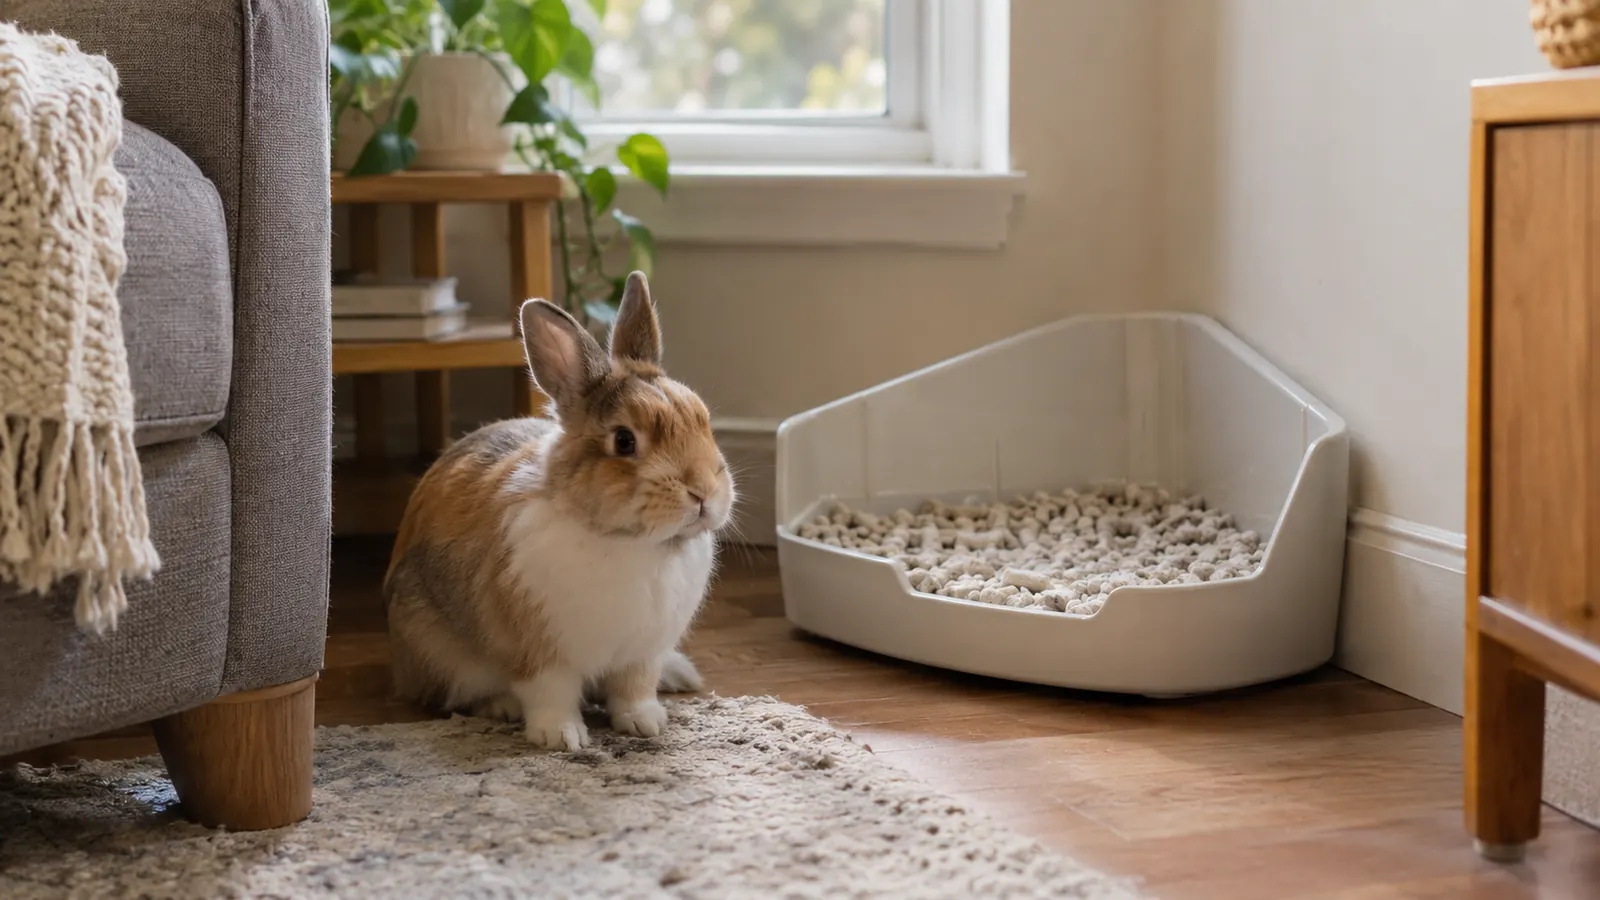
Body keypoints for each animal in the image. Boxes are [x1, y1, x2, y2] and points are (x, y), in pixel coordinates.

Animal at [383, 271, 736, 751]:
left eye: (703, 419)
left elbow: (634, 689)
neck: (629, 542)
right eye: (624, 441)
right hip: (437, 648)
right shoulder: (539, 652)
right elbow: (550, 692)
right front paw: (561, 737)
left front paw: (646, 724)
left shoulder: (641, 654)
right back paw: (501, 707)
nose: (703, 493)